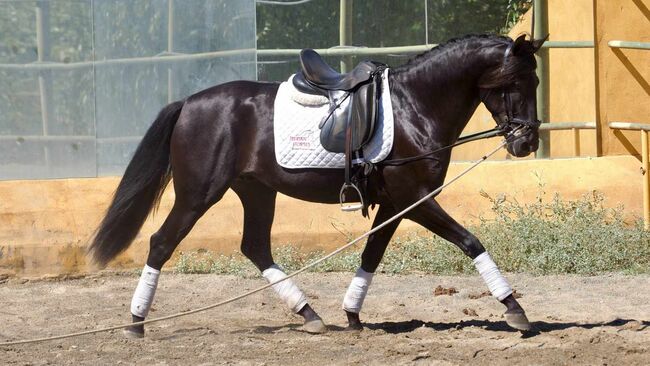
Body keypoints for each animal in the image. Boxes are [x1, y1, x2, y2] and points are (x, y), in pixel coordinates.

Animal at [87, 34, 540, 338]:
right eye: (518, 83)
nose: (527, 143)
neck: (413, 107)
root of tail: (188, 103)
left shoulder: (396, 204)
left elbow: (372, 255)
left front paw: (352, 314)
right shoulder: (416, 199)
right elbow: (470, 242)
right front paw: (514, 309)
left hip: (256, 191)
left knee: (255, 247)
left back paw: (309, 315)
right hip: (199, 194)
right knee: (162, 243)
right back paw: (136, 322)